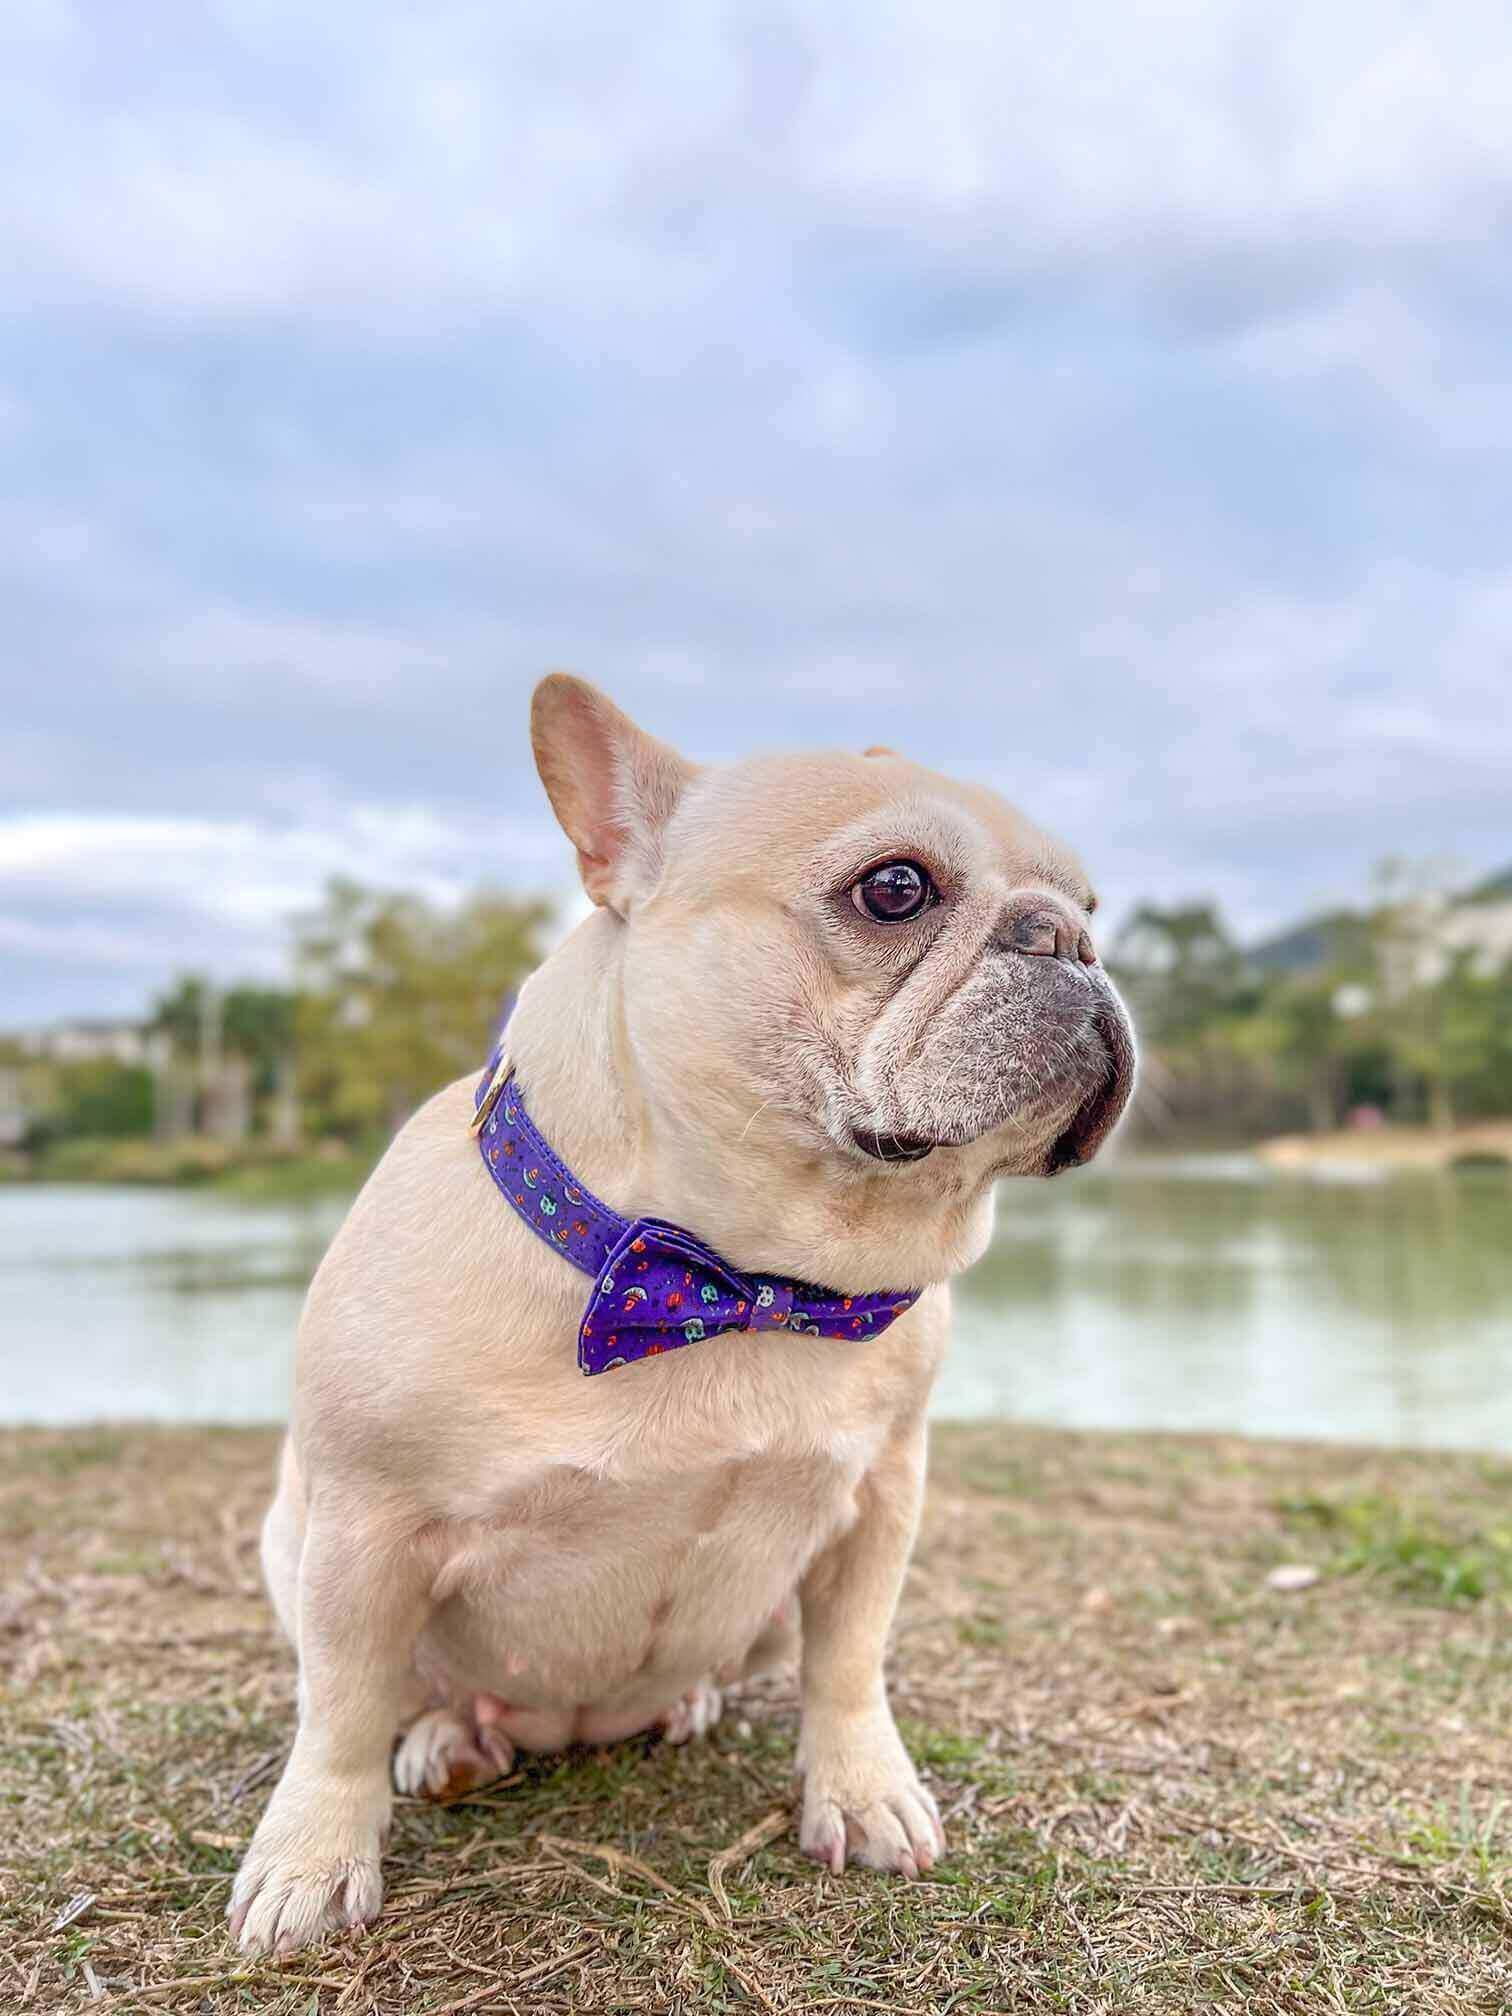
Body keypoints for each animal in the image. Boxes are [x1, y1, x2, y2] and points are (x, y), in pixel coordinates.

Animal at [227, 677, 1137, 1951]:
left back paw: (684, 1702)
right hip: (292, 1541)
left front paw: (861, 1791)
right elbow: (343, 1710)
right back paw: (450, 1740)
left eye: (1093, 903)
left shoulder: (880, 1499)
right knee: (400, 1694)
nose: (1071, 937)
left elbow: (850, 1662)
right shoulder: (365, 1530)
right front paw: (310, 1860)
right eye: (896, 888)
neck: (732, 1278)